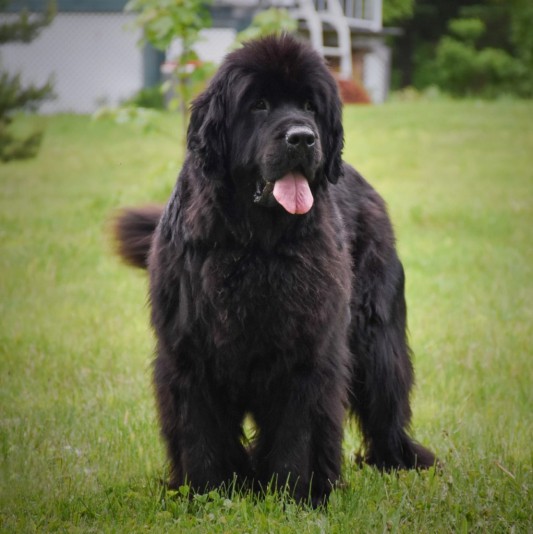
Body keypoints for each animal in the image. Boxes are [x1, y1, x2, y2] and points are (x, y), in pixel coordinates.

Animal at [114, 34, 434, 506]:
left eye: (310, 105)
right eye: (259, 104)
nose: (303, 138)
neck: (256, 246)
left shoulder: (308, 351)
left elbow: (298, 429)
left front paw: (295, 494)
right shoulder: (189, 351)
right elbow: (199, 429)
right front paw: (207, 493)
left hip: (374, 333)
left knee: (386, 397)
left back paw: (401, 458)